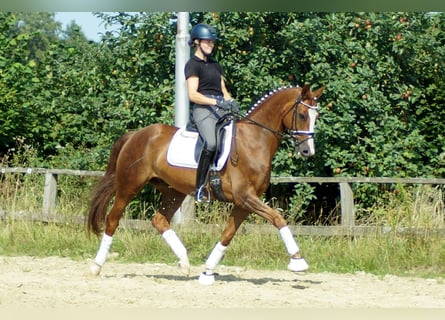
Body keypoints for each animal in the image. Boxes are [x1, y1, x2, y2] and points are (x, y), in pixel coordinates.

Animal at [86, 84, 322, 284]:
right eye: (302, 114)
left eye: (316, 115)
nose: (308, 151)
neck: (254, 140)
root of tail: (136, 134)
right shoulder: (246, 197)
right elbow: (278, 218)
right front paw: (298, 261)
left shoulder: (243, 203)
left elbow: (228, 235)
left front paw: (207, 272)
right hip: (129, 186)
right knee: (112, 220)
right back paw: (96, 266)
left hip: (173, 191)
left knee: (159, 220)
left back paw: (184, 263)